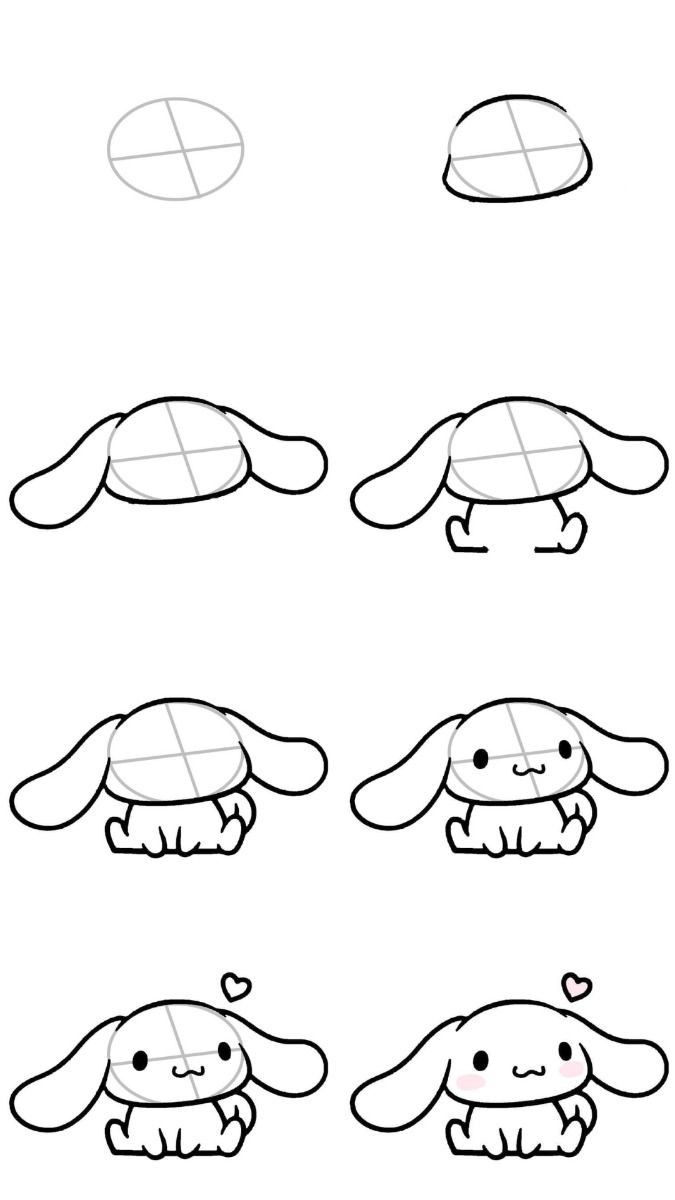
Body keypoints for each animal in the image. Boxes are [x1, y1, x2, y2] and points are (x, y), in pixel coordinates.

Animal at [10, 987, 328, 1158]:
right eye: (138, 1060)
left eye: (225, 1051)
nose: (189, 1069)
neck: (176, 1110)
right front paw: (155, 1149)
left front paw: (185, 1147)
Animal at [351, 698, 667, 856]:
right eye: (479, 758)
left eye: (565, 749)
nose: (529, 768)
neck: (515, 809)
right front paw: (495, 847)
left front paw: (526, 847)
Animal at [351, 996, 668, 1158]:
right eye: (479, 1060)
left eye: (565, 1051)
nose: (528, 1070)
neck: (516, 1109)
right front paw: (496, 1148)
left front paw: (526, 1147)